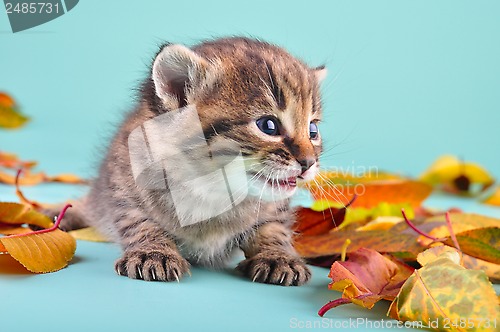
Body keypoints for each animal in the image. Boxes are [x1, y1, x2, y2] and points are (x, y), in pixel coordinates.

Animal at [54, 37, 326, 286]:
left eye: (313, 130)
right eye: (268, 126)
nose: (308, 162)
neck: (215, 190)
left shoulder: (275, 207)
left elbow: (274, 227)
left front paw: (278, 256)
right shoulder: (122, 182)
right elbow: (138, 220)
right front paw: (153, 252)